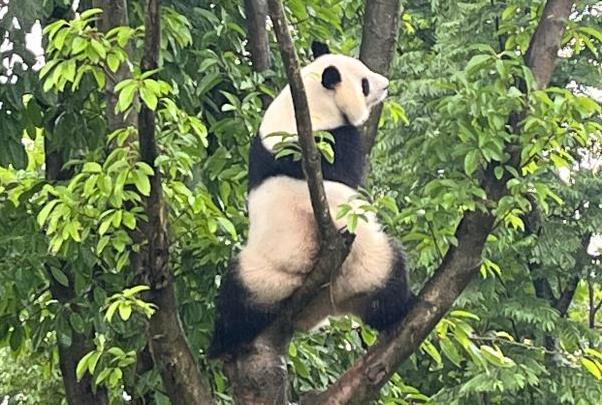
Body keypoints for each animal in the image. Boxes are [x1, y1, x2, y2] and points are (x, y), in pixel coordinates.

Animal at [206, 41, 408, 356]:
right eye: (364, 83)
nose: (385, 84)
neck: (311, 105)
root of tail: (326, 298)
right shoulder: (333, 141)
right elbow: (352, 172)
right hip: (279, 274)